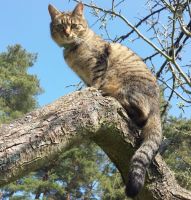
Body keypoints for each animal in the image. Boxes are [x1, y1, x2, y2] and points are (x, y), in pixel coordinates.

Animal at [48, 2, 162, 198]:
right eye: (60, 27)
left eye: (74, 26)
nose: (67, 33)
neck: (73, 50)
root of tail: (157, 107)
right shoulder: (84, 76)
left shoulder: (98, 64)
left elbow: (96, 81)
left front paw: (94, 90)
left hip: (129, 88)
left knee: (140, 115)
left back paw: (110, 95)